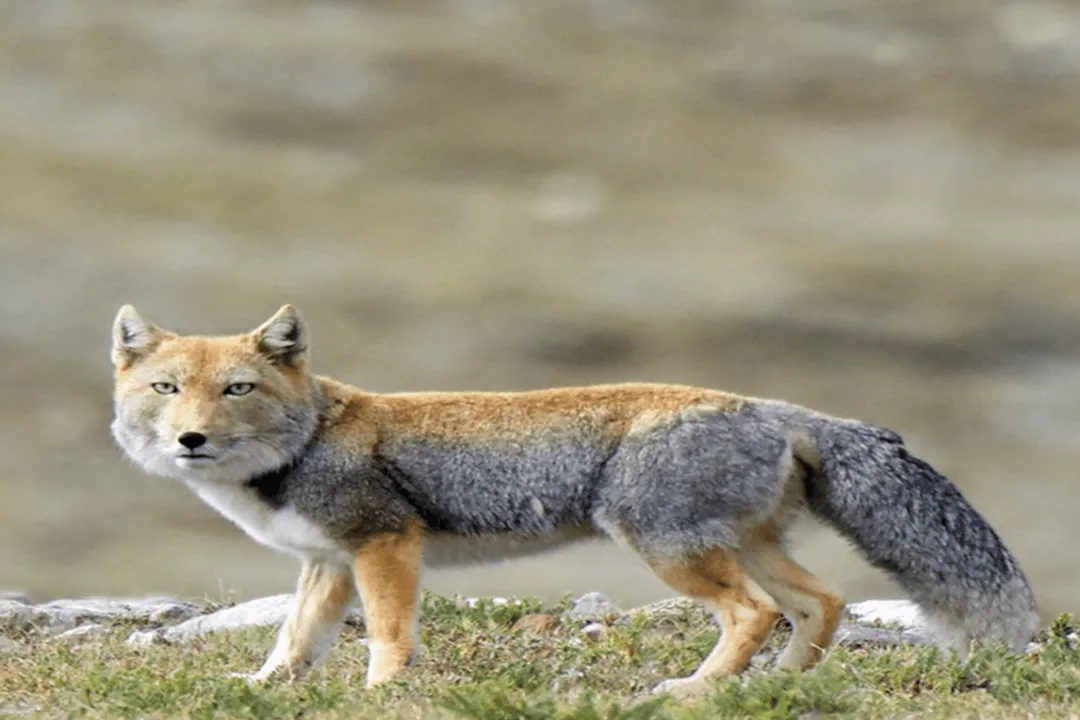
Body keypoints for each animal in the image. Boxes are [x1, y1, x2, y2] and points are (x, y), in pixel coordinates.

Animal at [109, 304, 1038, 696]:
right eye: (166, 389)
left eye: (236, 389)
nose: (190, 439)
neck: (304, 441)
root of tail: (770, 406)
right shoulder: (328, 563)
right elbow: (294, 642)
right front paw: (264, 687)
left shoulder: (384, 547)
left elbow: (388, 638)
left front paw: (379, 694)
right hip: (743, 547)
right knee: (822, 604)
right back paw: (769, 689)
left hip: (667, 549)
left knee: (756, 614)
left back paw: (694, 690)